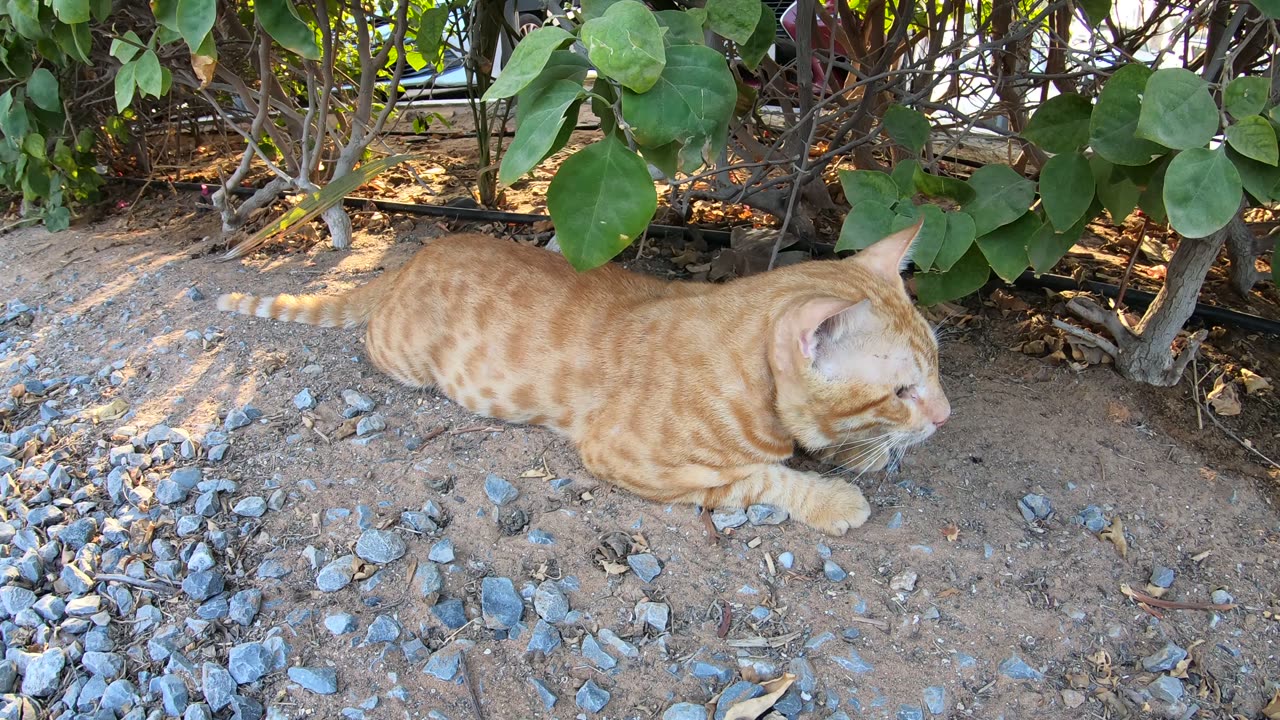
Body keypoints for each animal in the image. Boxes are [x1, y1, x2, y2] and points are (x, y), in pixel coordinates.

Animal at [215, 222, 947, 532]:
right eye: (901, 392)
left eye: (938, 365)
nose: (944, 417)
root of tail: (419, 253)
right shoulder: (631, 459)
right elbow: (763, 479)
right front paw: (835, 498)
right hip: (400, 357)